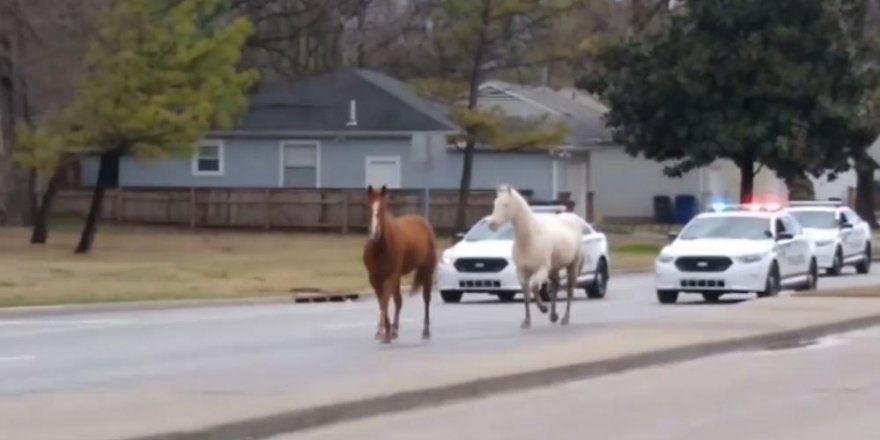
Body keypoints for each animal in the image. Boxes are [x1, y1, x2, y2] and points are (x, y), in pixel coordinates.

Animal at [360, 186, 436, 344]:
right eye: (369, 206)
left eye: (383, 208)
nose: (374, 233)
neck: (380, 247)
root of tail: (424, 222)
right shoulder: (375, 278)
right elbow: (382, 301)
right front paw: (386, 331)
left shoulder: (391, 276)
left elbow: (385, 301)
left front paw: (382, 331)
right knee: (398, 301)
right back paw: (395, 329)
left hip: (427, 271)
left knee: (426, 298)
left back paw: (425, 331)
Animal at [488, 185, 584, 326]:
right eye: (495, 203)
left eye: (506, 204)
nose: (491, 224)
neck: (531, 238)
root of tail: (573, 218)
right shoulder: (522, 271)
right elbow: (526, 294)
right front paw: (526, 322)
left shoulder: (541, 270)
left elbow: (534, 287)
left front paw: (543, 308)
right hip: (554, 269)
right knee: (555, 285)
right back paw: (553, 316)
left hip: (572, 265)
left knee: (569, 290)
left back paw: (565, 318)